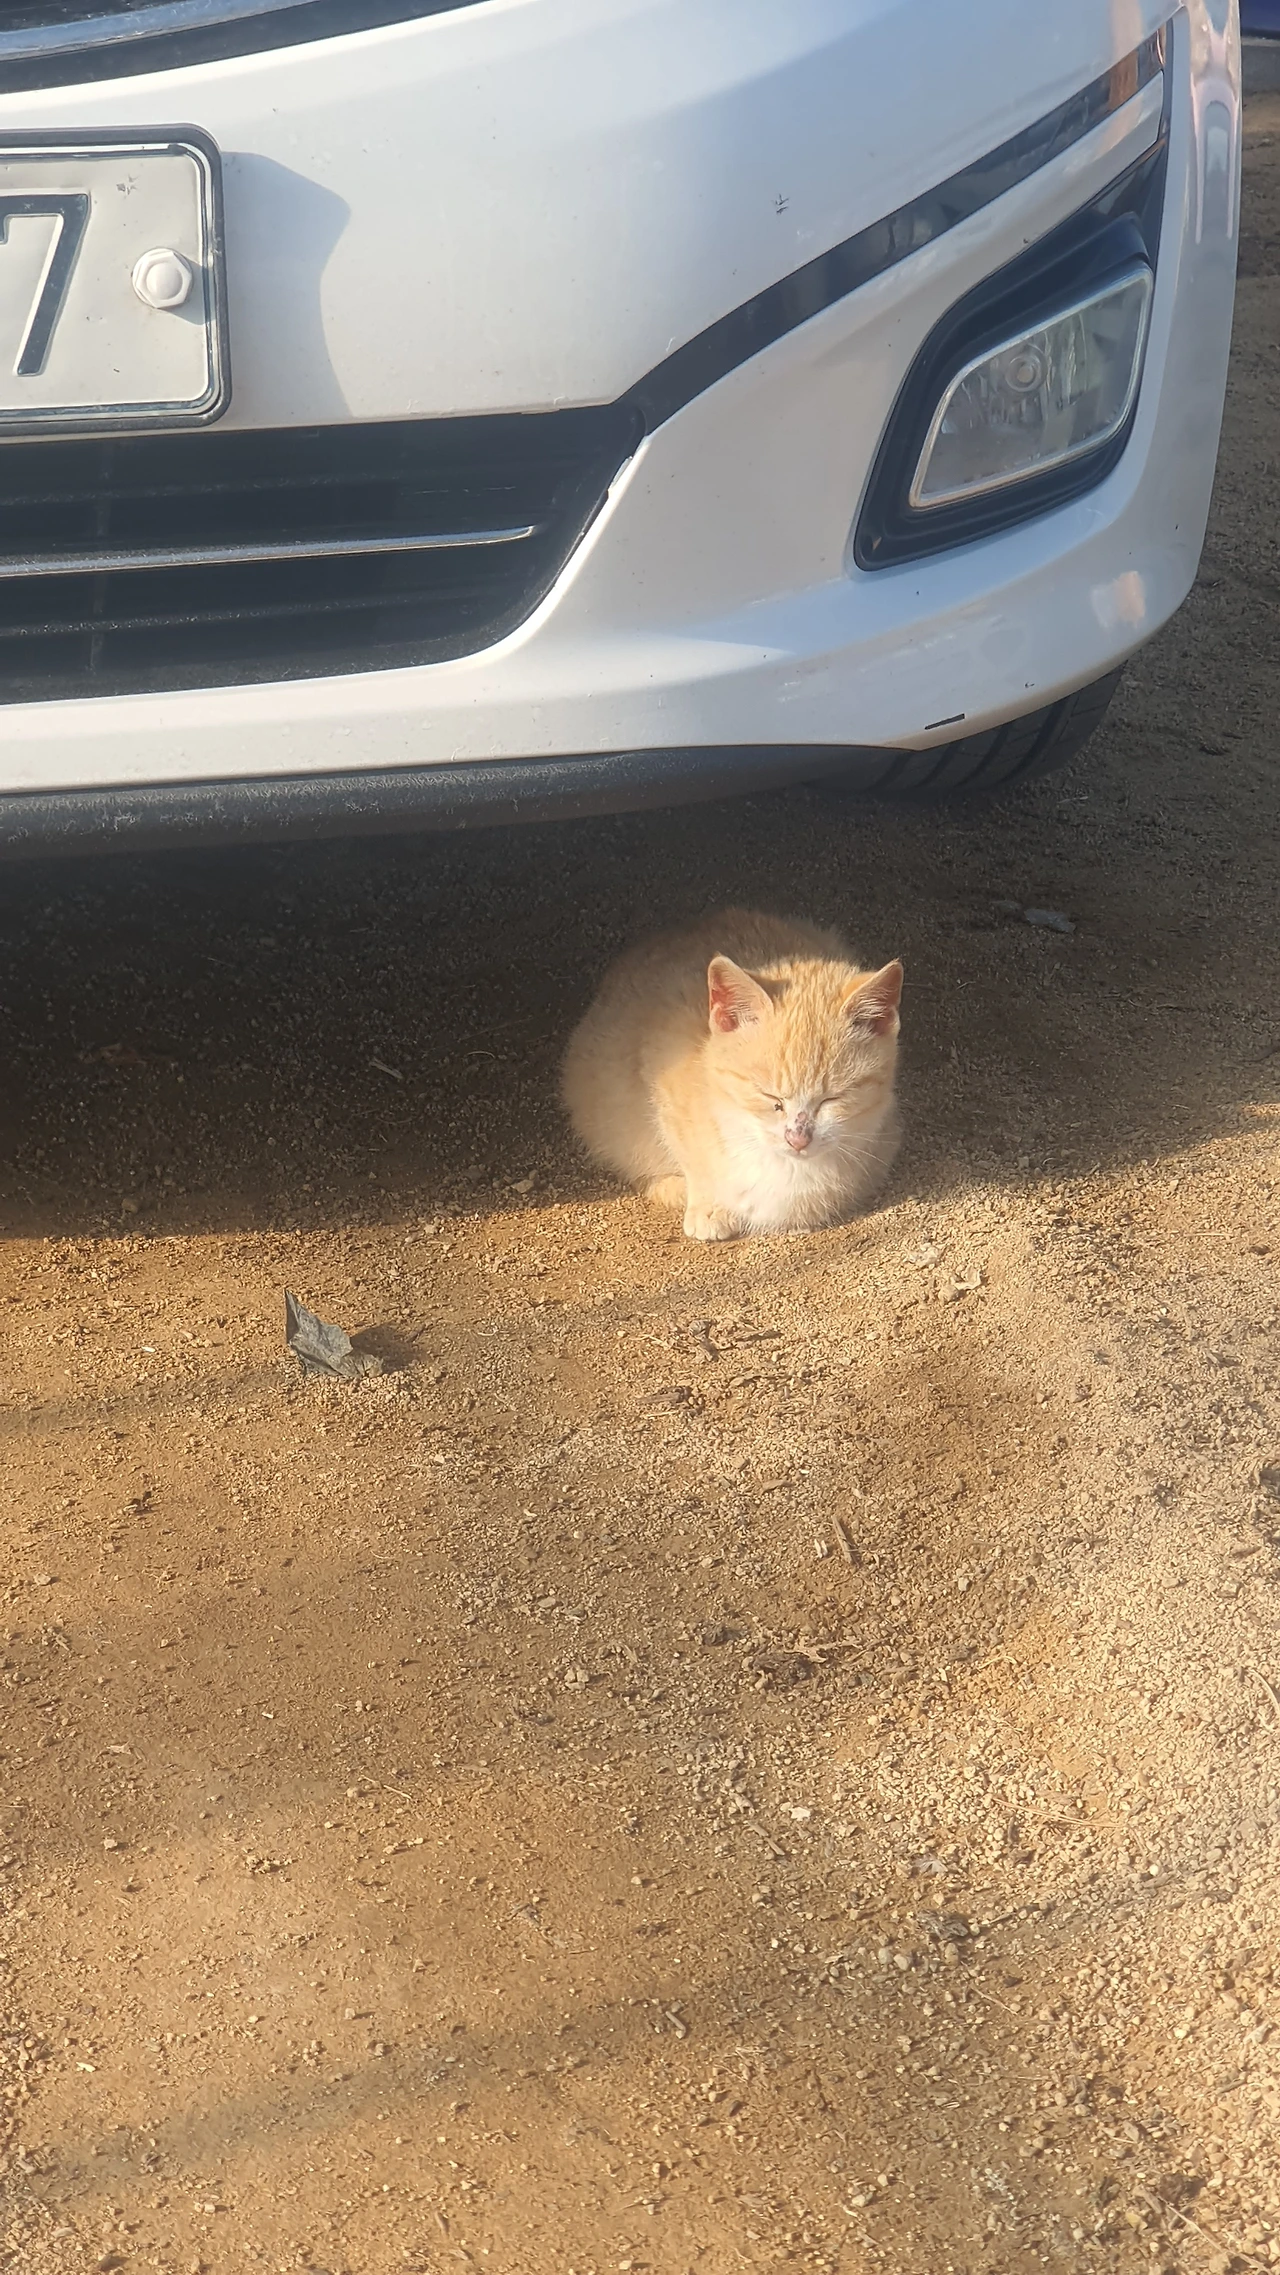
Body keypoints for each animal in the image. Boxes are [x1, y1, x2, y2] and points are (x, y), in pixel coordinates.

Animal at [561, 908, 903, 1240]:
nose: (797, 1139)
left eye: (832, 1098)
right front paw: (708, 1205)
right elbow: (692, 1158)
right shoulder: (661, 1079)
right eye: (768, 1095)